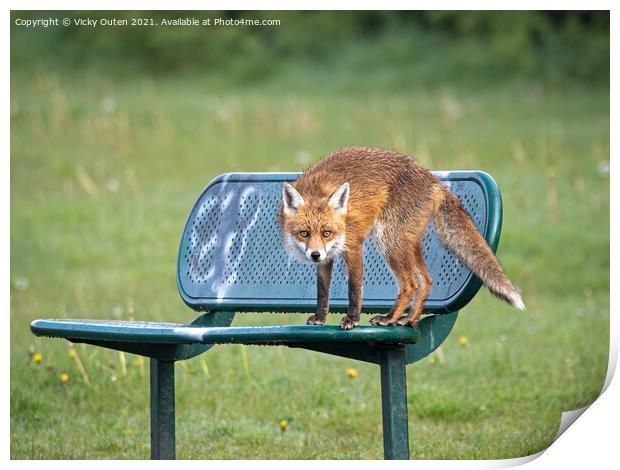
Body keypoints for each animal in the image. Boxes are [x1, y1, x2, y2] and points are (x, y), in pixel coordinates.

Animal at [278, 147, 524, 330]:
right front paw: (320, 317)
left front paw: (352, 319)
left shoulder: (353, 245)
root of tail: (433, 179)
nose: (314, 254)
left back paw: (389, 318)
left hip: (388, 241)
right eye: (304, 233)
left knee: (410, 284)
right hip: (407, 244)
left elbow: (354, 289)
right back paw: (409, 319)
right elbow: (322, 291)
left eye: (326, 232)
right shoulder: (327, 258)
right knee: (426, 281)